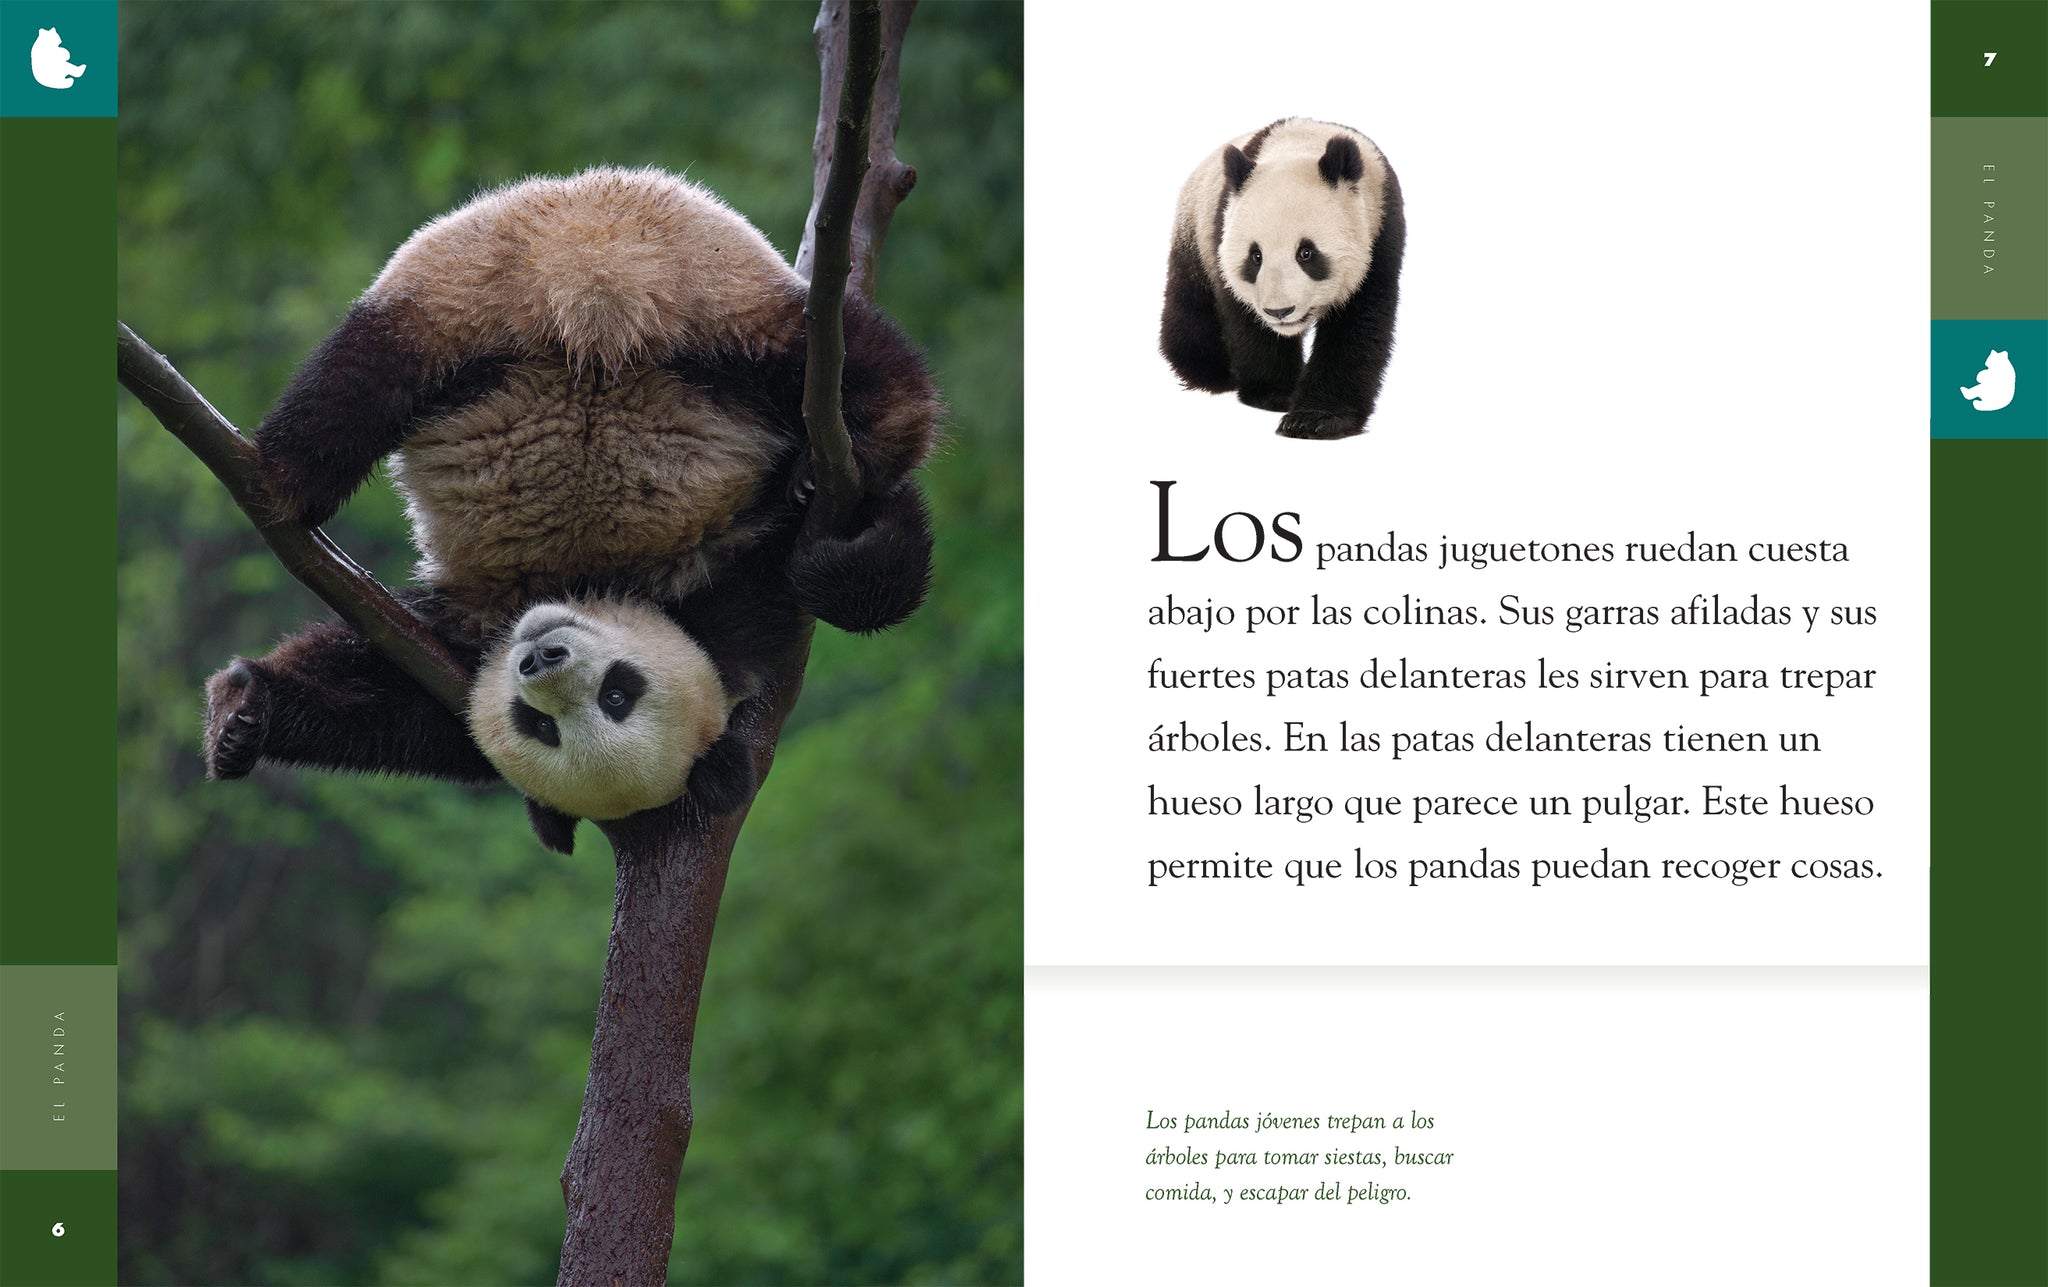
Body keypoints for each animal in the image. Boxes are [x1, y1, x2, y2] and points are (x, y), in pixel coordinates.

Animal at [203, 166, 939, 851]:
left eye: (606, 701)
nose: (541, 656)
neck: (593, 585)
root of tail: (595, 290)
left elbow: (385, 701)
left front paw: (247, 716)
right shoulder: (731, 579)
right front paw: (239, 712)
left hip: (517, 293)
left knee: (363, 383)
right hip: (670, 286)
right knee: (848, 354)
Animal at [1159, 118, 1404, 440]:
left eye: (1306, 253)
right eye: (1255, 256)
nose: (1279, 312)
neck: (1300, 145)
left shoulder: (1379, 236)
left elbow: (1359, 328)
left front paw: (1316, 419)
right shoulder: (1222, 230)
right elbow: (1250, 323)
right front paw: (1277, 394)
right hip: (1195, 235)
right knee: (1191, 307)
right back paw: (1208, 369)